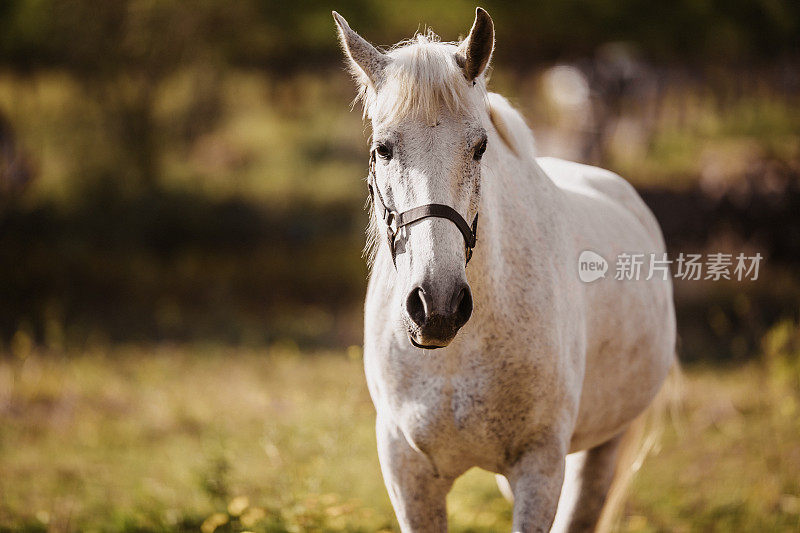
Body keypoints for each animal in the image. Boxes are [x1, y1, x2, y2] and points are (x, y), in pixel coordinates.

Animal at [334, 9, 680, 532]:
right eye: (382, 149)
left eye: (480, 147)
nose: (437, 305)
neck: (457, 354)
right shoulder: (407, 472)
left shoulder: (540, 467)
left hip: (604, 447)